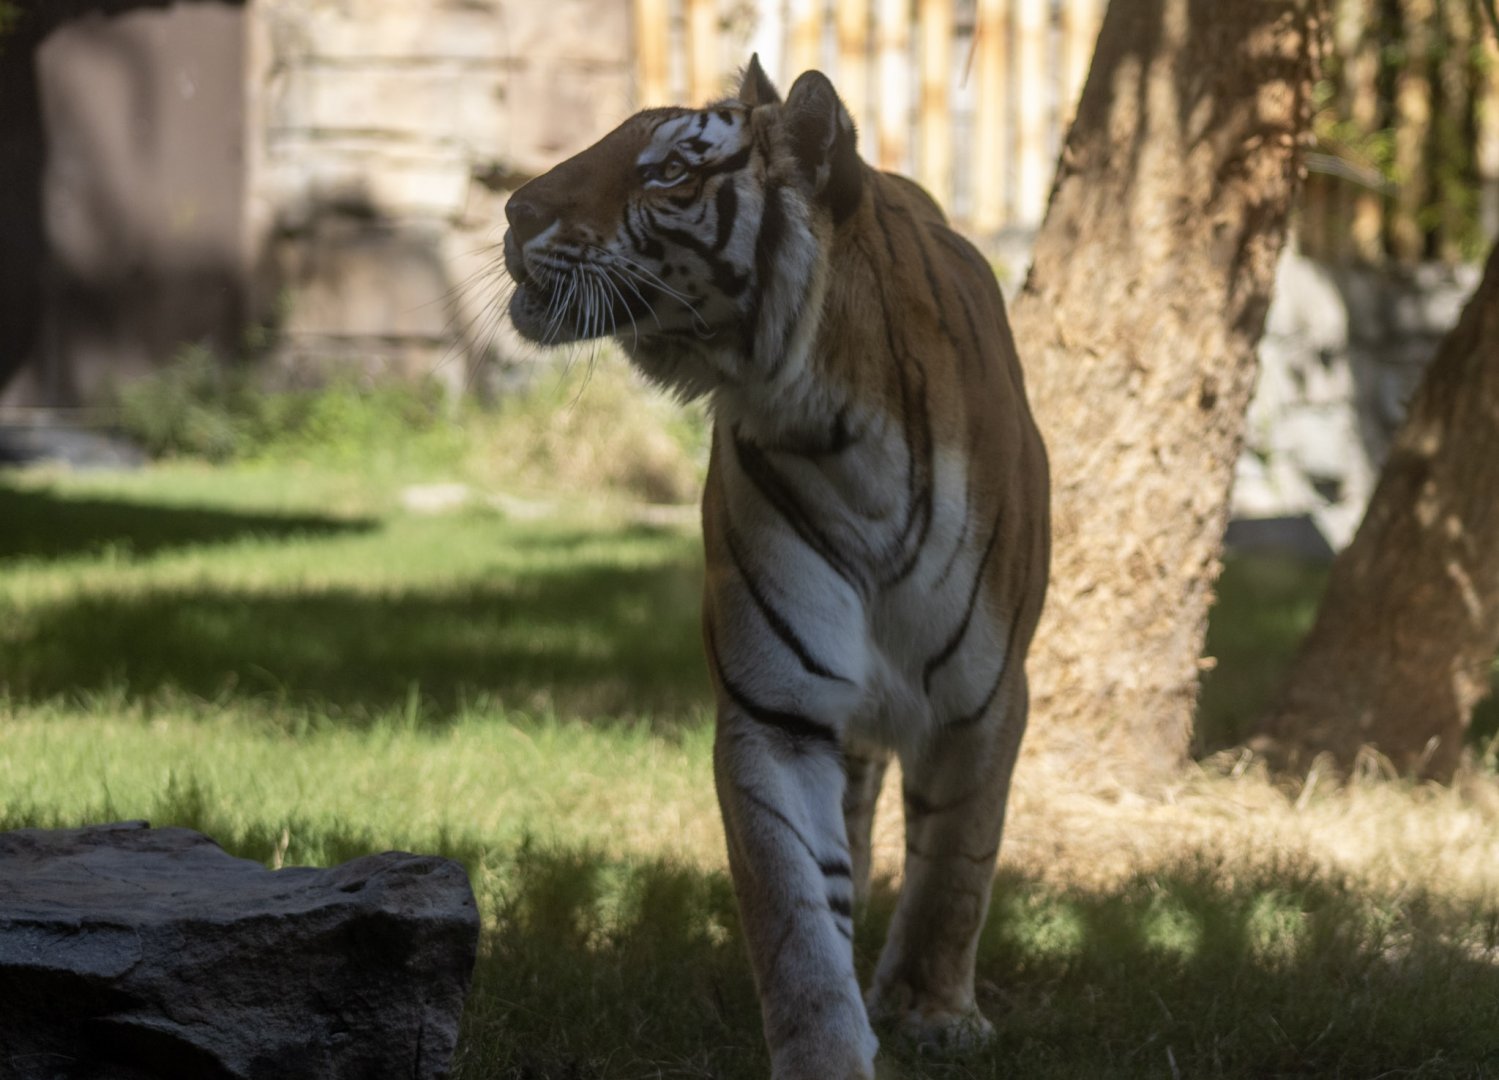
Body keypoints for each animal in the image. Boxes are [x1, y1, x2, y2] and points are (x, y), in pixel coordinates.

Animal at [502, 56, 1050, 1079]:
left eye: (670, 172)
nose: (513, 210)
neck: (839, 432)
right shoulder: (777, 706)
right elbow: (793, 902)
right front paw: (826, 1046)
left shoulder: (985, 693)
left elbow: (957, 860)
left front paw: (929, 1013)